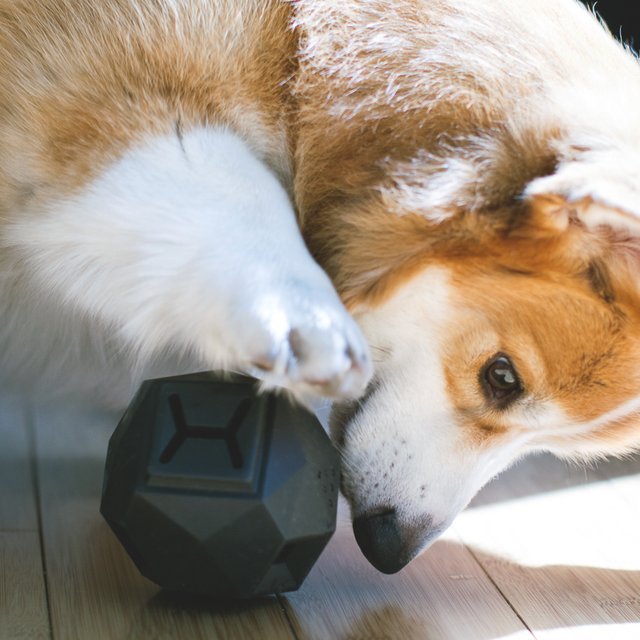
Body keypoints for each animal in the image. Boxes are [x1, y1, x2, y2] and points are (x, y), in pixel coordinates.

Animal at [3, 0, 640, 572]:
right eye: (502, 377)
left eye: (552, 446)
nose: (388, 552)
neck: (303, 52)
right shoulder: (118, 78)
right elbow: (225, 176)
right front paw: (301, 310)